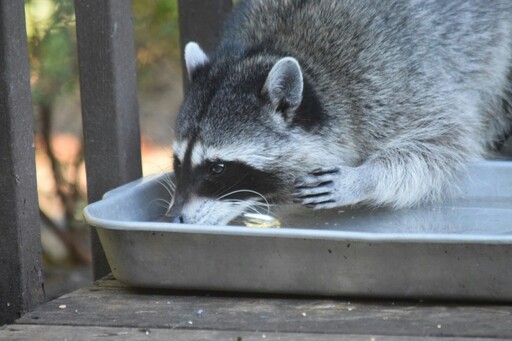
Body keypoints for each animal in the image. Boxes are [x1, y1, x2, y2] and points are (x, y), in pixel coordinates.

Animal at [167, 0, 512, 224]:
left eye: (218, 168)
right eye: (177, 161)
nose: (175, 218)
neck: (271, 48)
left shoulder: (391, 82)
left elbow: (442, 141)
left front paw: (366, 177)